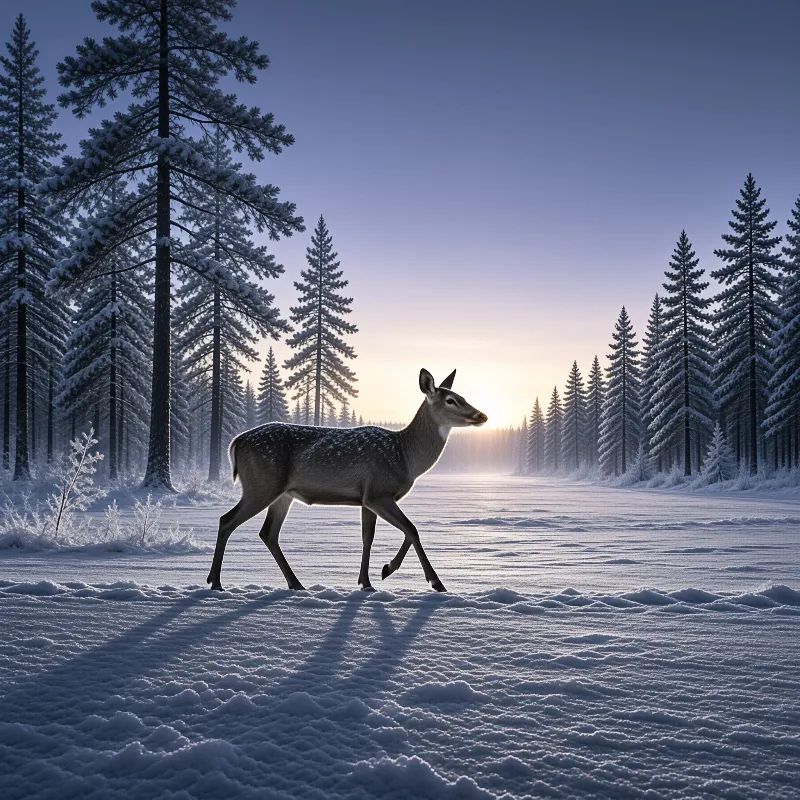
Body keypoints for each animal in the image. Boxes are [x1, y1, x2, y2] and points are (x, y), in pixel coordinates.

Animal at [207, 368, 488, 593]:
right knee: (227, 520)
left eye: (463, 396)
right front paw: (432, 581)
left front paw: (369, 580)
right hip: (261, 485)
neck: (405, 457)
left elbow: (368, 537)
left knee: (268, 533)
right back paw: (216, 581)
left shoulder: (366, 498)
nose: (481, 415)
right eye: (451, 400)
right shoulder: (379, 492)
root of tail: (236, 442)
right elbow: (412, 529)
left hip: (283, 493)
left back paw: (295, 583)